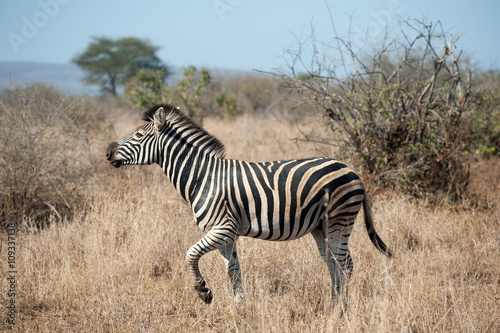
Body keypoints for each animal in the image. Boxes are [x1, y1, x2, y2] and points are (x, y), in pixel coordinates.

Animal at [107, 104, 392, 306]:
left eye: (139, 134)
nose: (108, 152)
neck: (202, 177)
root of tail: (353, 171)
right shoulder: (226, 235)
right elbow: (234, 272)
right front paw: (239, 309)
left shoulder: (222, 229)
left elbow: (190, 254)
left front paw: (204, 292)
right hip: (320, 227)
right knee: (334, 265)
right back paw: (332, 306)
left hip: (338, 222)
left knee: (345, 265)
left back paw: (340, 311)